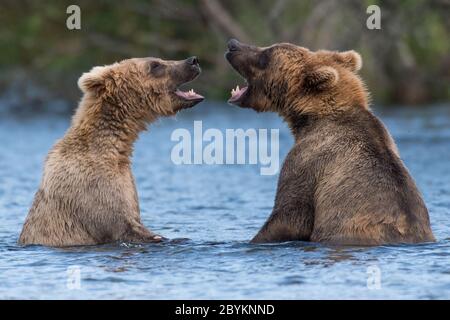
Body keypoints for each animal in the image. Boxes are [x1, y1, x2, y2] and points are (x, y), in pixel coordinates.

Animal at [18, 56, 204, 246]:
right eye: (155, 65)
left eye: (159, 60)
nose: (192, 61)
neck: (116, 148)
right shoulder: (91, 187)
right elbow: (121, 223)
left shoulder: (126, 181)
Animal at [227, 39, 434, 245]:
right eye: (267, 48)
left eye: (266, 56)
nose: (233, 45)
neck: (311, 117)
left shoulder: (309, 159)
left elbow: (290, 215)